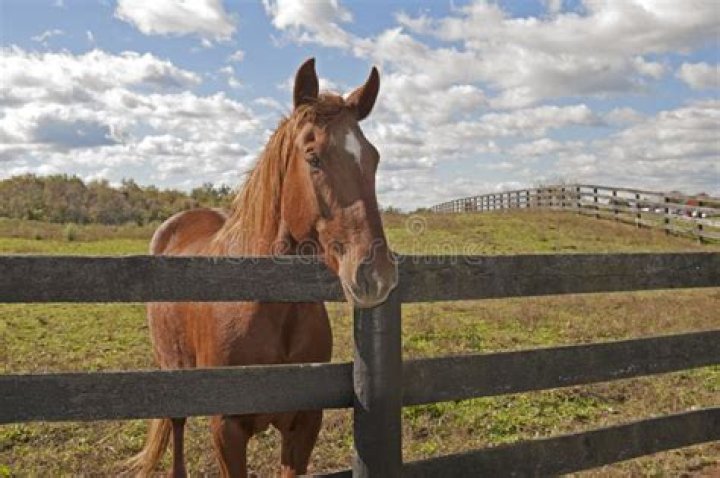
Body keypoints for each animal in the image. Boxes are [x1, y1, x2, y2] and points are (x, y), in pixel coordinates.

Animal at [125, 58, 398, 478]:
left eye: (373, 159)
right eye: (313, 156)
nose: (375, 275)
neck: (267, 308)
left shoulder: (305, 423)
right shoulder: (227, 429)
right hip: (174, 369)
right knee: (177, 427)